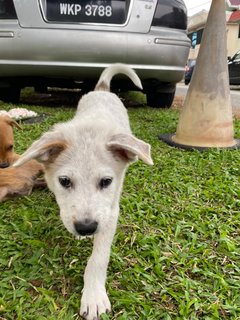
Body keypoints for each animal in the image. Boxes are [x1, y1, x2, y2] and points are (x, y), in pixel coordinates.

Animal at [15, 63, 153, 318]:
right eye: (64, 181)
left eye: (106, 181)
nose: (86, 228)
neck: (90, 129)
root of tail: (103, 90)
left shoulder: (110, 212)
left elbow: (98, 258)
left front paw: (94, 296)